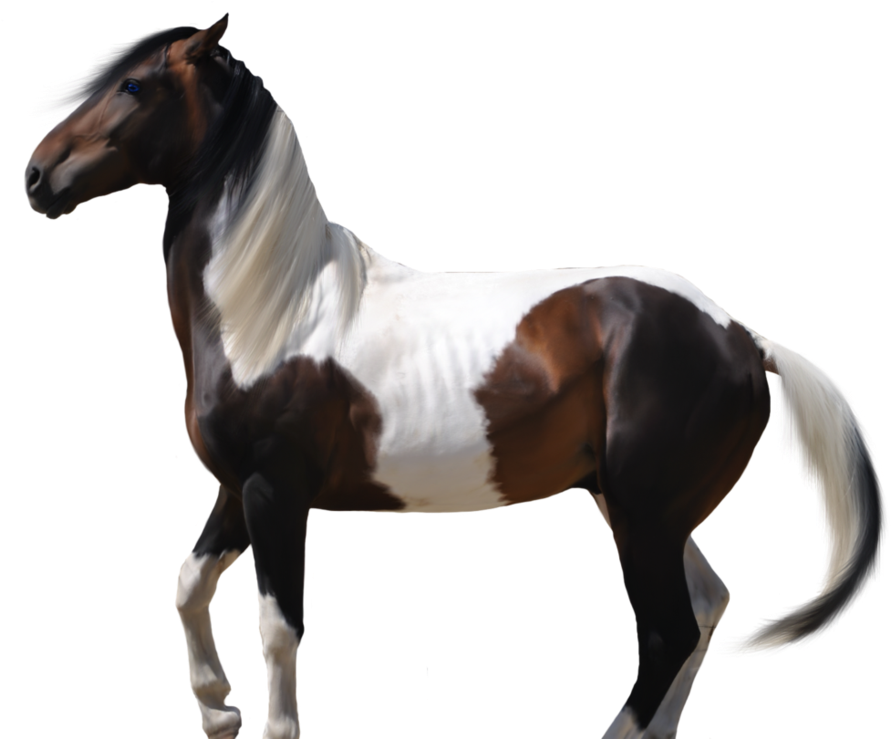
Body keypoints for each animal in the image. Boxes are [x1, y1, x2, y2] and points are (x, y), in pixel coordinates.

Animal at [24, 14, 885, 739]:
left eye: (135, 86)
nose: (37, 176)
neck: (275, 310)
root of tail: (742, 336)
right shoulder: (237, 489)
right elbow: (187, 585)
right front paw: (215, 710)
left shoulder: (275, 491)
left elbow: (277, 626)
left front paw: (270, 727)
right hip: (640, 506)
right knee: (704, 608)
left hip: (645, 511)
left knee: (670, 627)